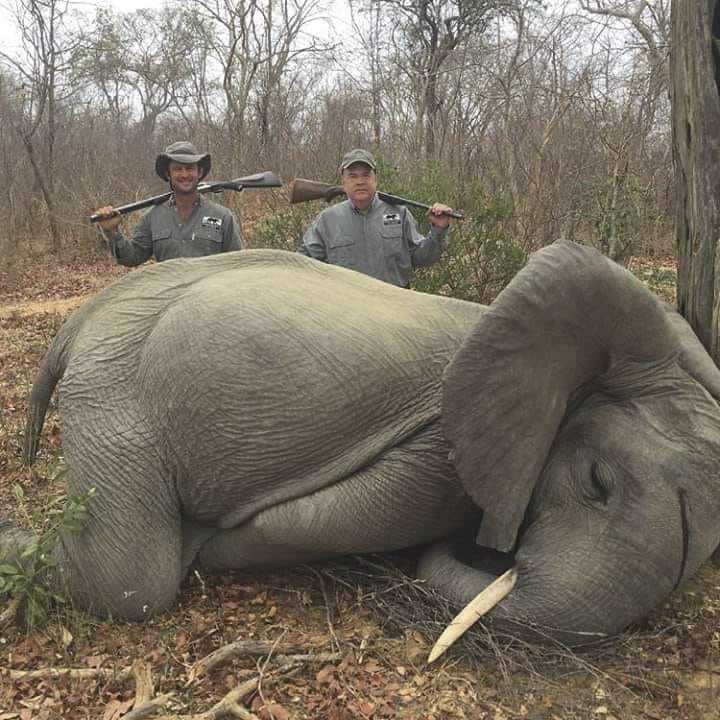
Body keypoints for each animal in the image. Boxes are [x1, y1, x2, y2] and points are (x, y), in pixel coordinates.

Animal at [5, 240, 720, 648]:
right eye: (598, 482)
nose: (489, 553)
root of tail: (81, 322)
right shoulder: (441, 451)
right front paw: (212, 544)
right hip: (115, 394)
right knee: (129, 581)